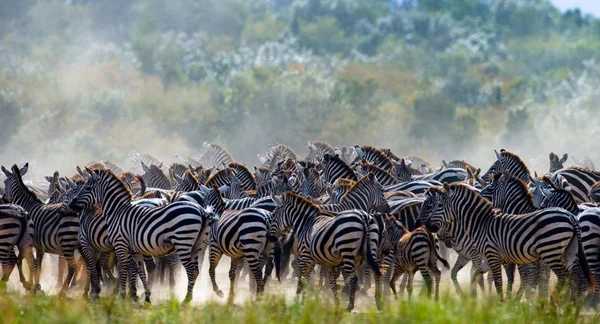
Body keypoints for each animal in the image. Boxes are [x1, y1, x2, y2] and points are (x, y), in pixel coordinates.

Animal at [1, 165, 79, 296]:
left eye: (5, 182)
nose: (4, 200)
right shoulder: (38, 247)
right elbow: (37, 265)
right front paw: (35, 285)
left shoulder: (29, 244)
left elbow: (28, 263)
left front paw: (31, 286)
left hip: (67, 242)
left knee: (73, 266)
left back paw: (63, 291)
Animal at [67, 168, 217, 302]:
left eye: (87, 188)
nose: (71, 205)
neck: (117, 211)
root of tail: (201, 210)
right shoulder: (134, 250)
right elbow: (140, 270)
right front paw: (145, 296)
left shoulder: (119, 245)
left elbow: (122, 269)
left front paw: (121, 295)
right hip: (197, 245)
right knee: (195, 270)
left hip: (183, 242)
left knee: (190, 270)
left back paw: (185, 300)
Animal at [422, 182, 596, 298]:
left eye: (439, 205)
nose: (427, 226)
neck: (481, 223)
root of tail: (571, 216)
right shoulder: (488, 258)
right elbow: (476, 275)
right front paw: (473, 298)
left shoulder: (492, 256)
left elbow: (498, 281)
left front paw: (500, 303)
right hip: (568, 252)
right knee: (573, 277)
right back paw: (567, 306)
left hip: (550, 251)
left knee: (564, 276)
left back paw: (554, 303)